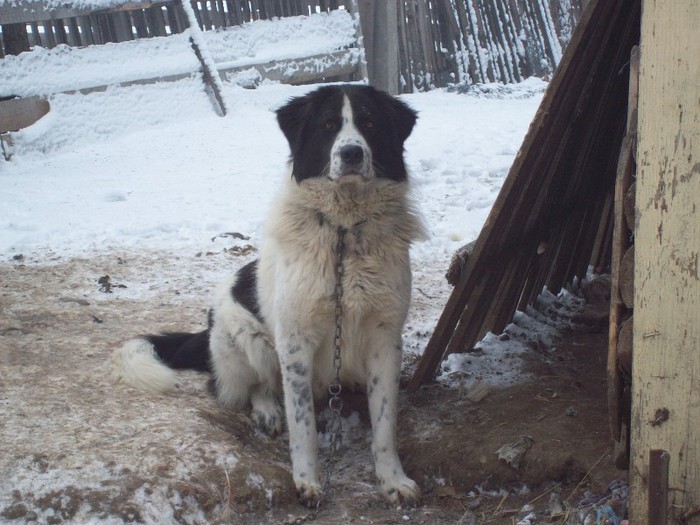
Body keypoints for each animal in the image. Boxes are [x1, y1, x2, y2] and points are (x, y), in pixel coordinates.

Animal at [112, 84, 424, 506]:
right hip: (249, 339)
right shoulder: (295, 343)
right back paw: (267, 411)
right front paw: (307, 480)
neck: (344, 234)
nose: (352, 153)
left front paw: (392, 479)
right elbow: (303, 423)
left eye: (370, 123)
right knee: (250, 386)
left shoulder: (385, 339)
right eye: (329, 125)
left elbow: (385, 423)